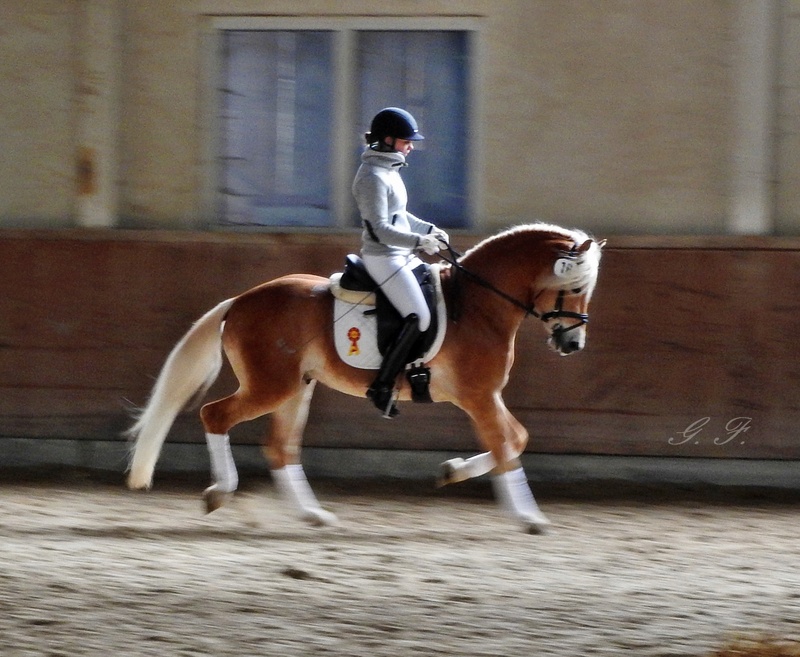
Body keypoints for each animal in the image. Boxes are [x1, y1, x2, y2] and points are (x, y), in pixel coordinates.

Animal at [126, 223, 600, 532]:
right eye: (576, 287)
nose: (573, 344)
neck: (479, 305)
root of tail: (241, 300)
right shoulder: (479, 396)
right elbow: (505, 446)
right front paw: (528, 517)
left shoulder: (485, 396)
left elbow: (516, 438)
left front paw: (451, 472)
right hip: (271, 386)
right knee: (216, 416)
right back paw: (221, 492)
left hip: (297, 388)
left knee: (280, 446)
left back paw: (312, 515)